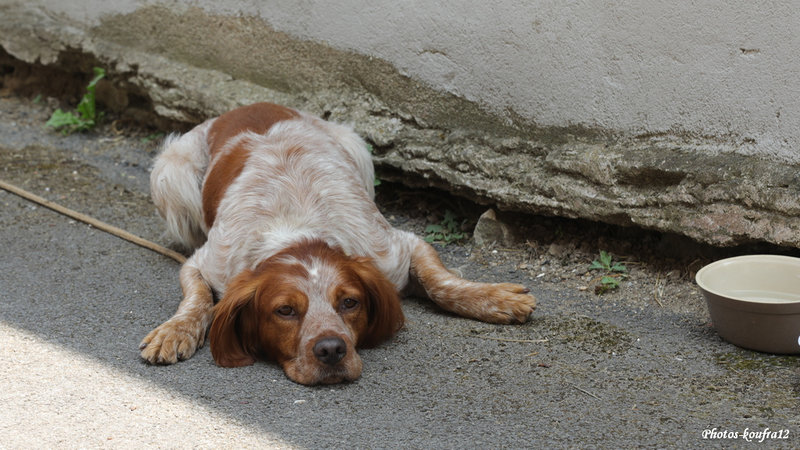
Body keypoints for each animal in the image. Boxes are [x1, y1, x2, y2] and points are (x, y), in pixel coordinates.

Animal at [139, 103, 536, 384]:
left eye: (349, 302)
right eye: (285, 310)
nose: (331, 349)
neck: (298, 230)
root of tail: (240, 107)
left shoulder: (394, 248)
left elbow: (442, 283)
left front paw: (495, 298)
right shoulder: (205, 262)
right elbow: (197, 299)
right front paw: (174, 331)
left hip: (355, 146)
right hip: (170, 173)